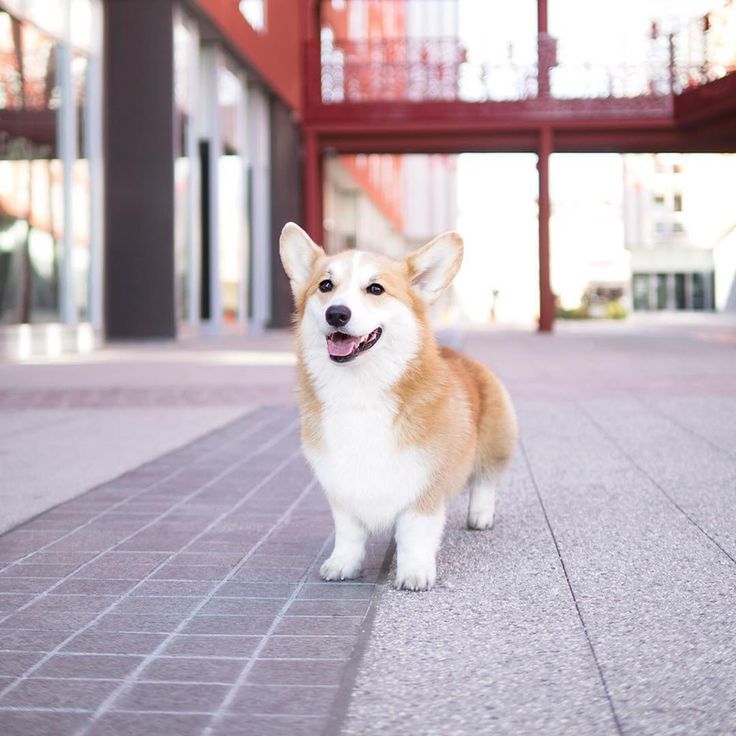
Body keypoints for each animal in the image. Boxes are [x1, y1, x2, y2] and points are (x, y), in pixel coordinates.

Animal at [280, 221, 516, 588]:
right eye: (325, 285)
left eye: (375, 289)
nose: (337, 313)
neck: (360, 391)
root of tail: (461, 355)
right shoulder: (341, 486)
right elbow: (349, 532)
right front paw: (343, 564)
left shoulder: (425, 483)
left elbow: (416, 533)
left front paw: (414, 573)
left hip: (494, 442)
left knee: (484, 481)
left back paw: (480, 516)